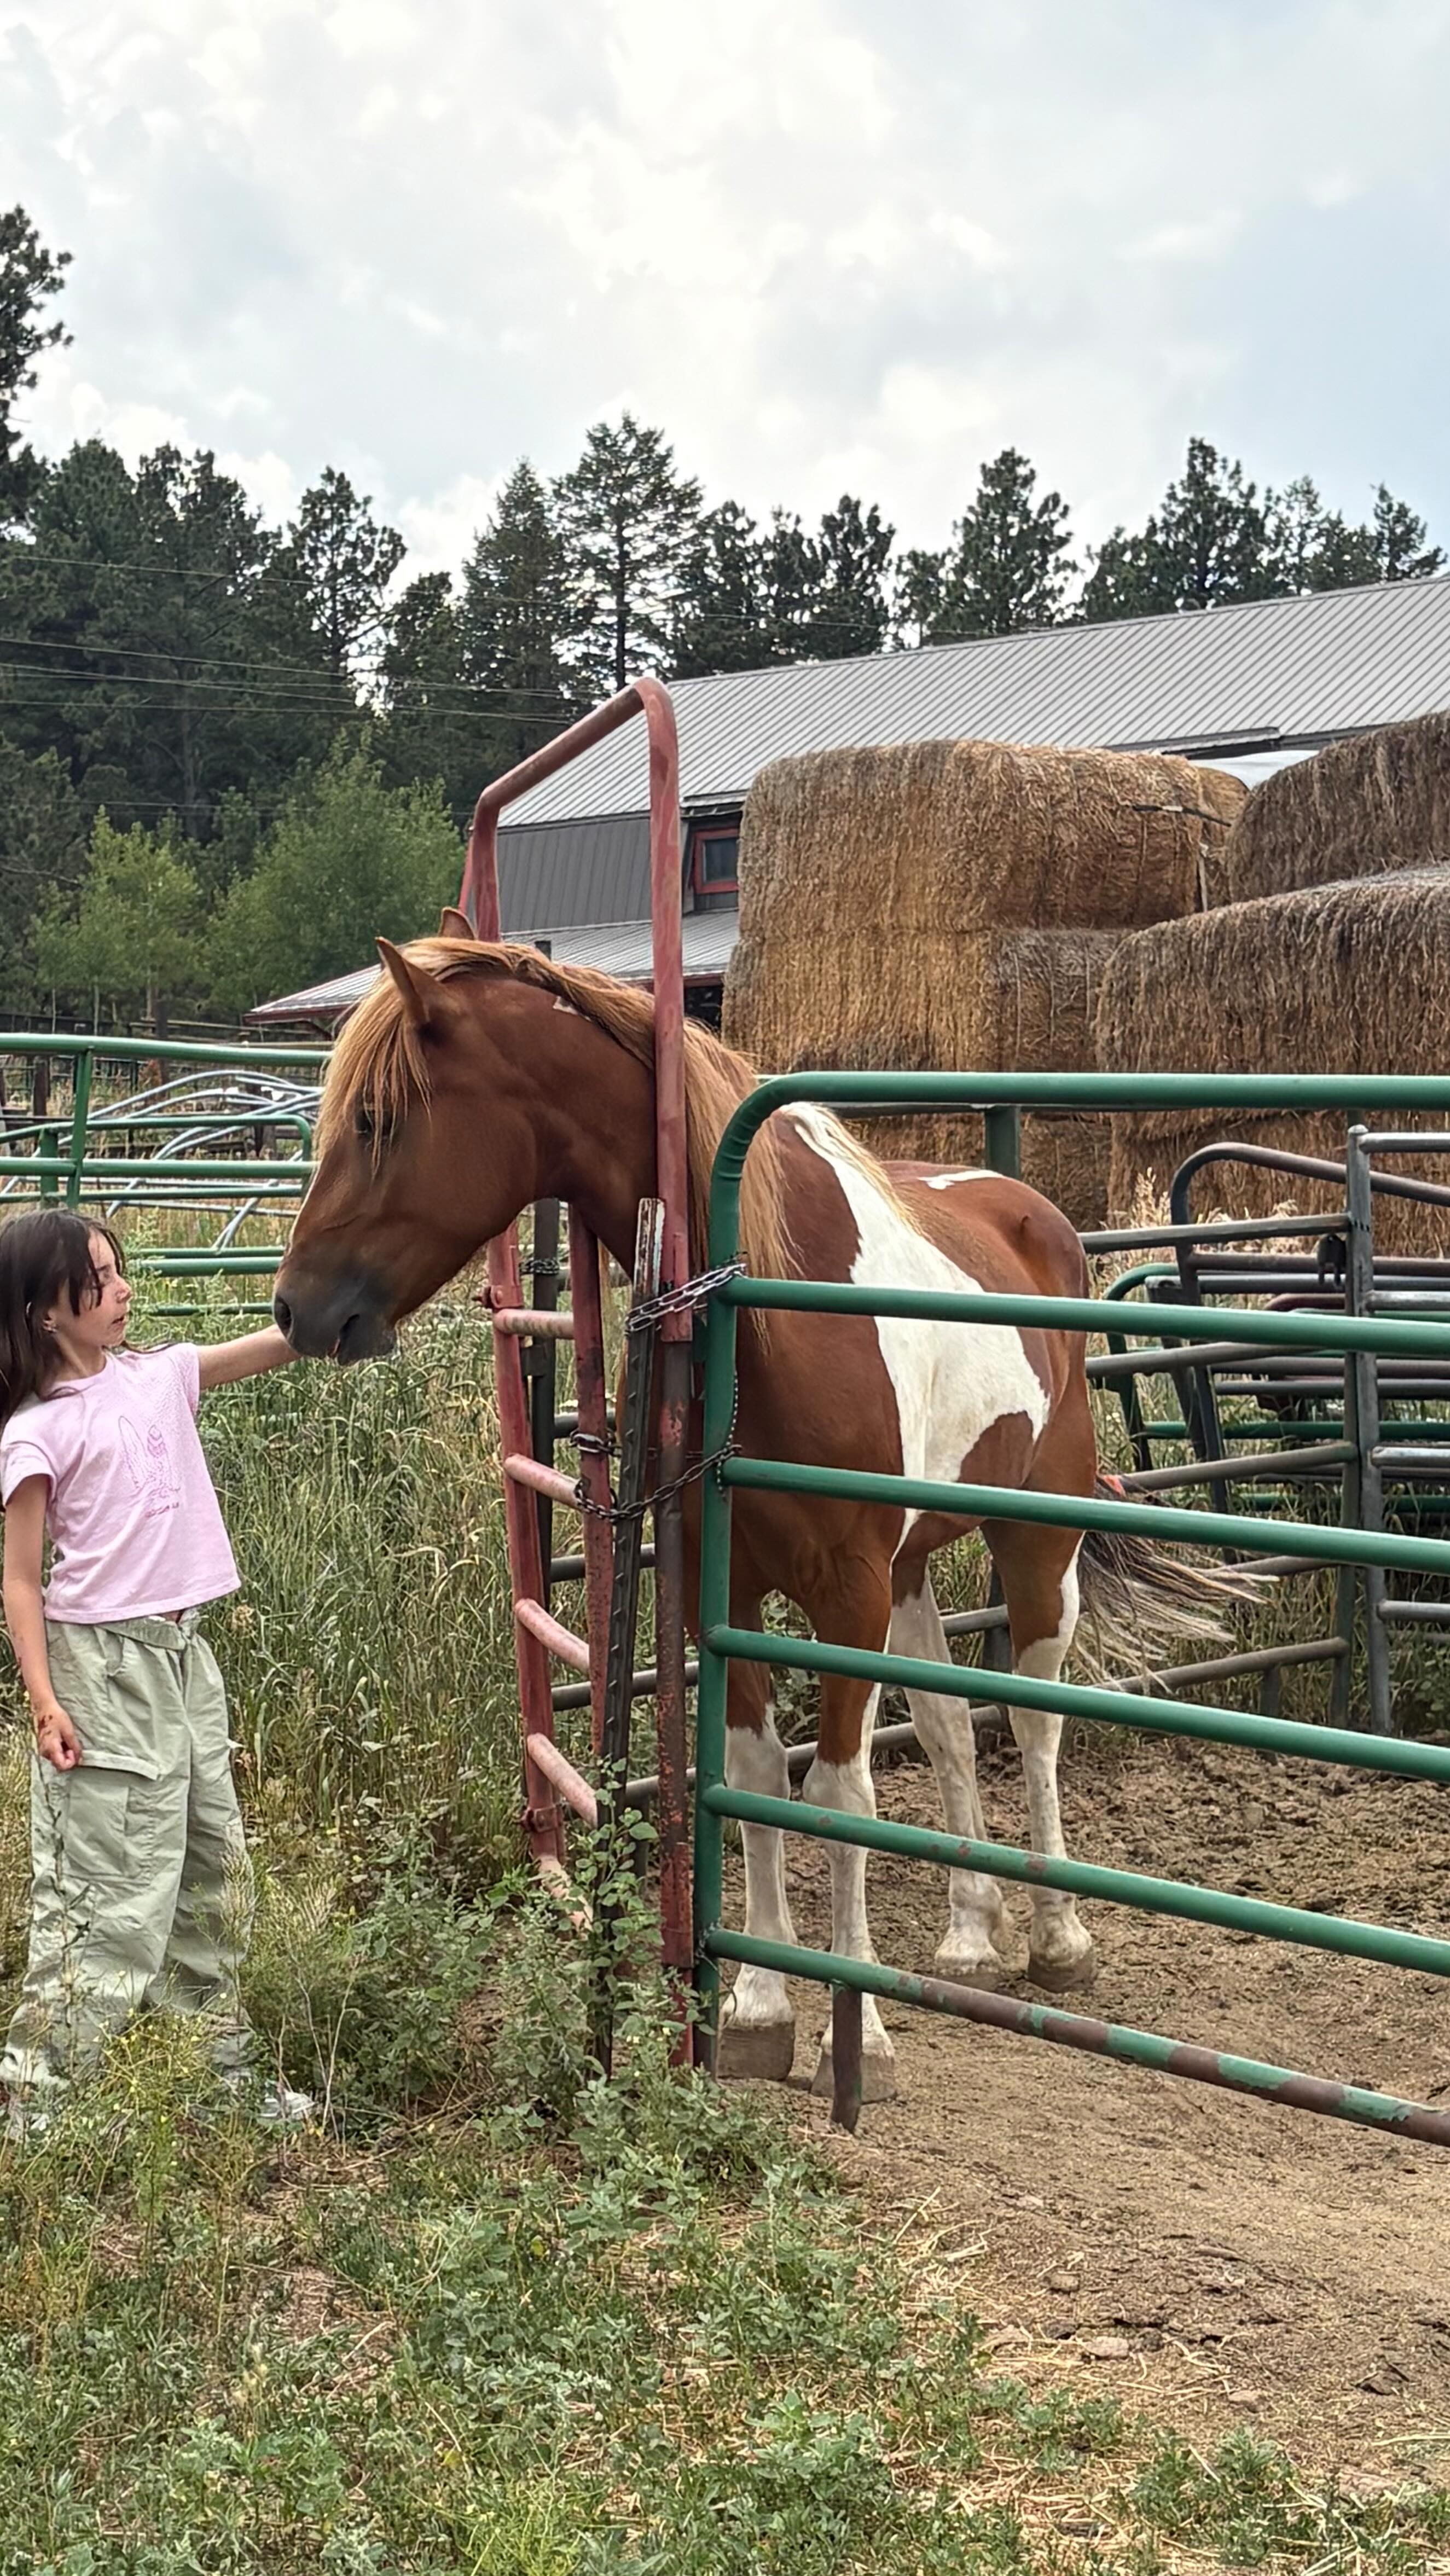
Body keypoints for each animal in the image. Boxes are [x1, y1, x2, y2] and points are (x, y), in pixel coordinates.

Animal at [273, 928, 1247, 2101]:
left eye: (375, 1119)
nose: (296, 1307)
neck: (765, 1311)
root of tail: (1038, 1218)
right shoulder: (728, 1585)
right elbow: (750, 1779)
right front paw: (758, 2005)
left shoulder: (847, 1593)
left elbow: (838, 1792)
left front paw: (857, 2037)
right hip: (913, 1570)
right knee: (949, 1725)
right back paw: (971, 1931)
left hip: (1032, 1536)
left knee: (1034, 1719)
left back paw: (1058, 1935)